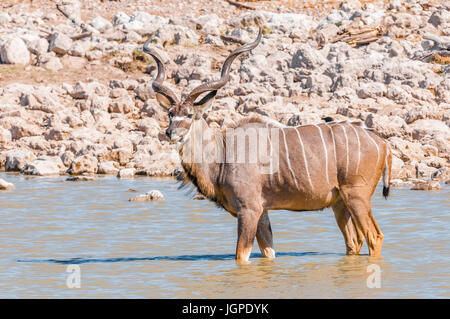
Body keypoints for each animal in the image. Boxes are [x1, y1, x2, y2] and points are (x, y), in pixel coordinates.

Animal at [142, 28, 392, 264]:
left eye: (190, 114)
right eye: (170, 113)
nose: (170, 133)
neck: (223, 152)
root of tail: (382, 143)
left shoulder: (249, 209)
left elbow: (241, 256)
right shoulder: (262, 212)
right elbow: (269, 253)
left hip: (356, 197)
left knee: (375, 237)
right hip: (340, 203)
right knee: (354, 242)